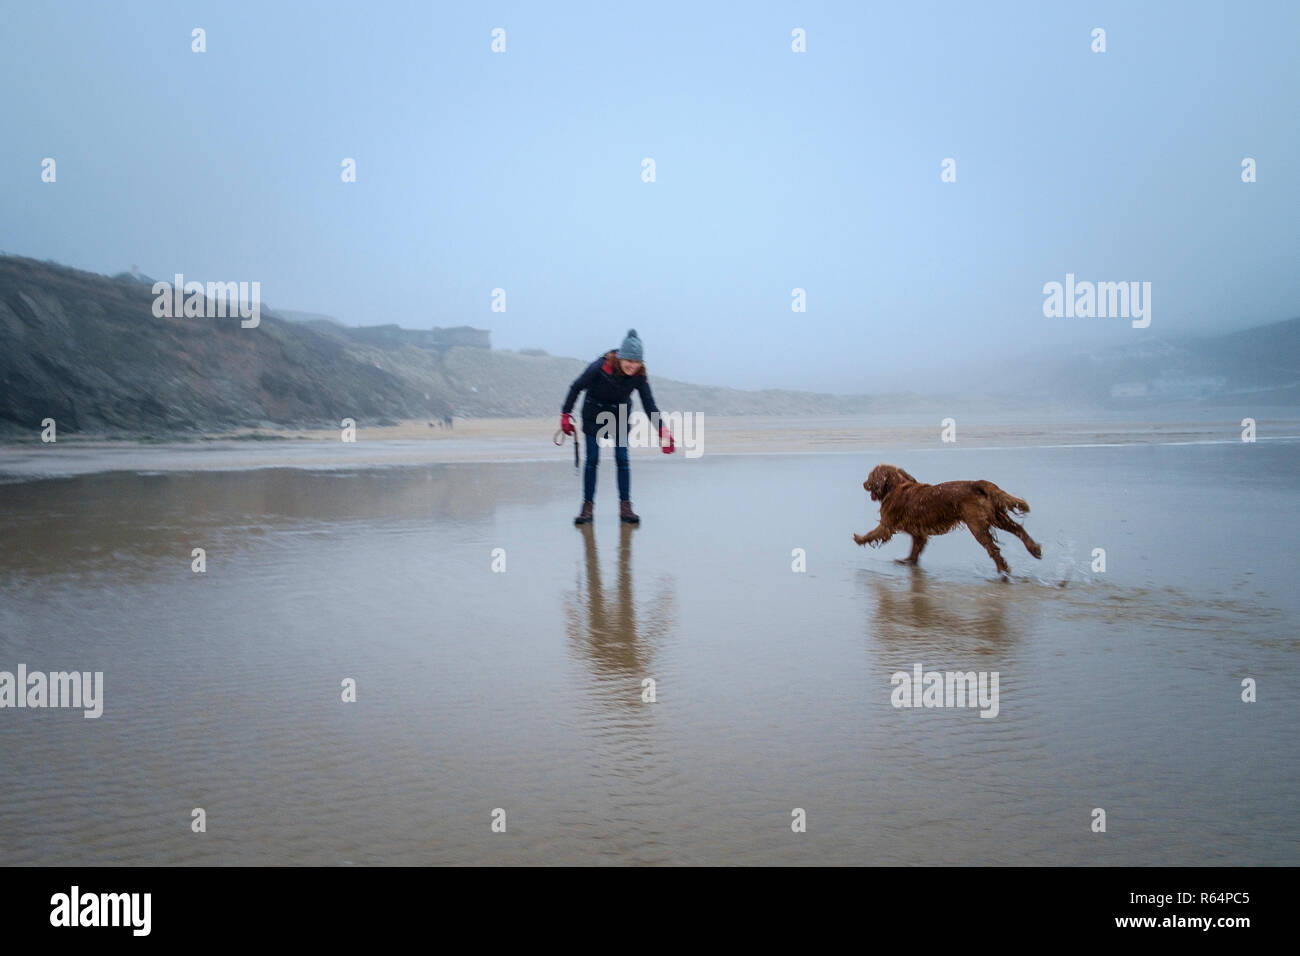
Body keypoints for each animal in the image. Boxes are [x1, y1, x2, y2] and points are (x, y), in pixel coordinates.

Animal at [852, 463, 1045, 574]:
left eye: (870, 476)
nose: (863, 483)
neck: (897, 485)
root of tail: (978, 484)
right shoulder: (918, 533)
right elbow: (915, 549)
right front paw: (908, 561)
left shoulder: (887, 525)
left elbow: (872, 534)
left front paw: (859, 538)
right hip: (997, 516)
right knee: (1018, 529)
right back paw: (1034, 549)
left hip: (976, 525)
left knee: (993, 548)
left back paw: (1002, 569)